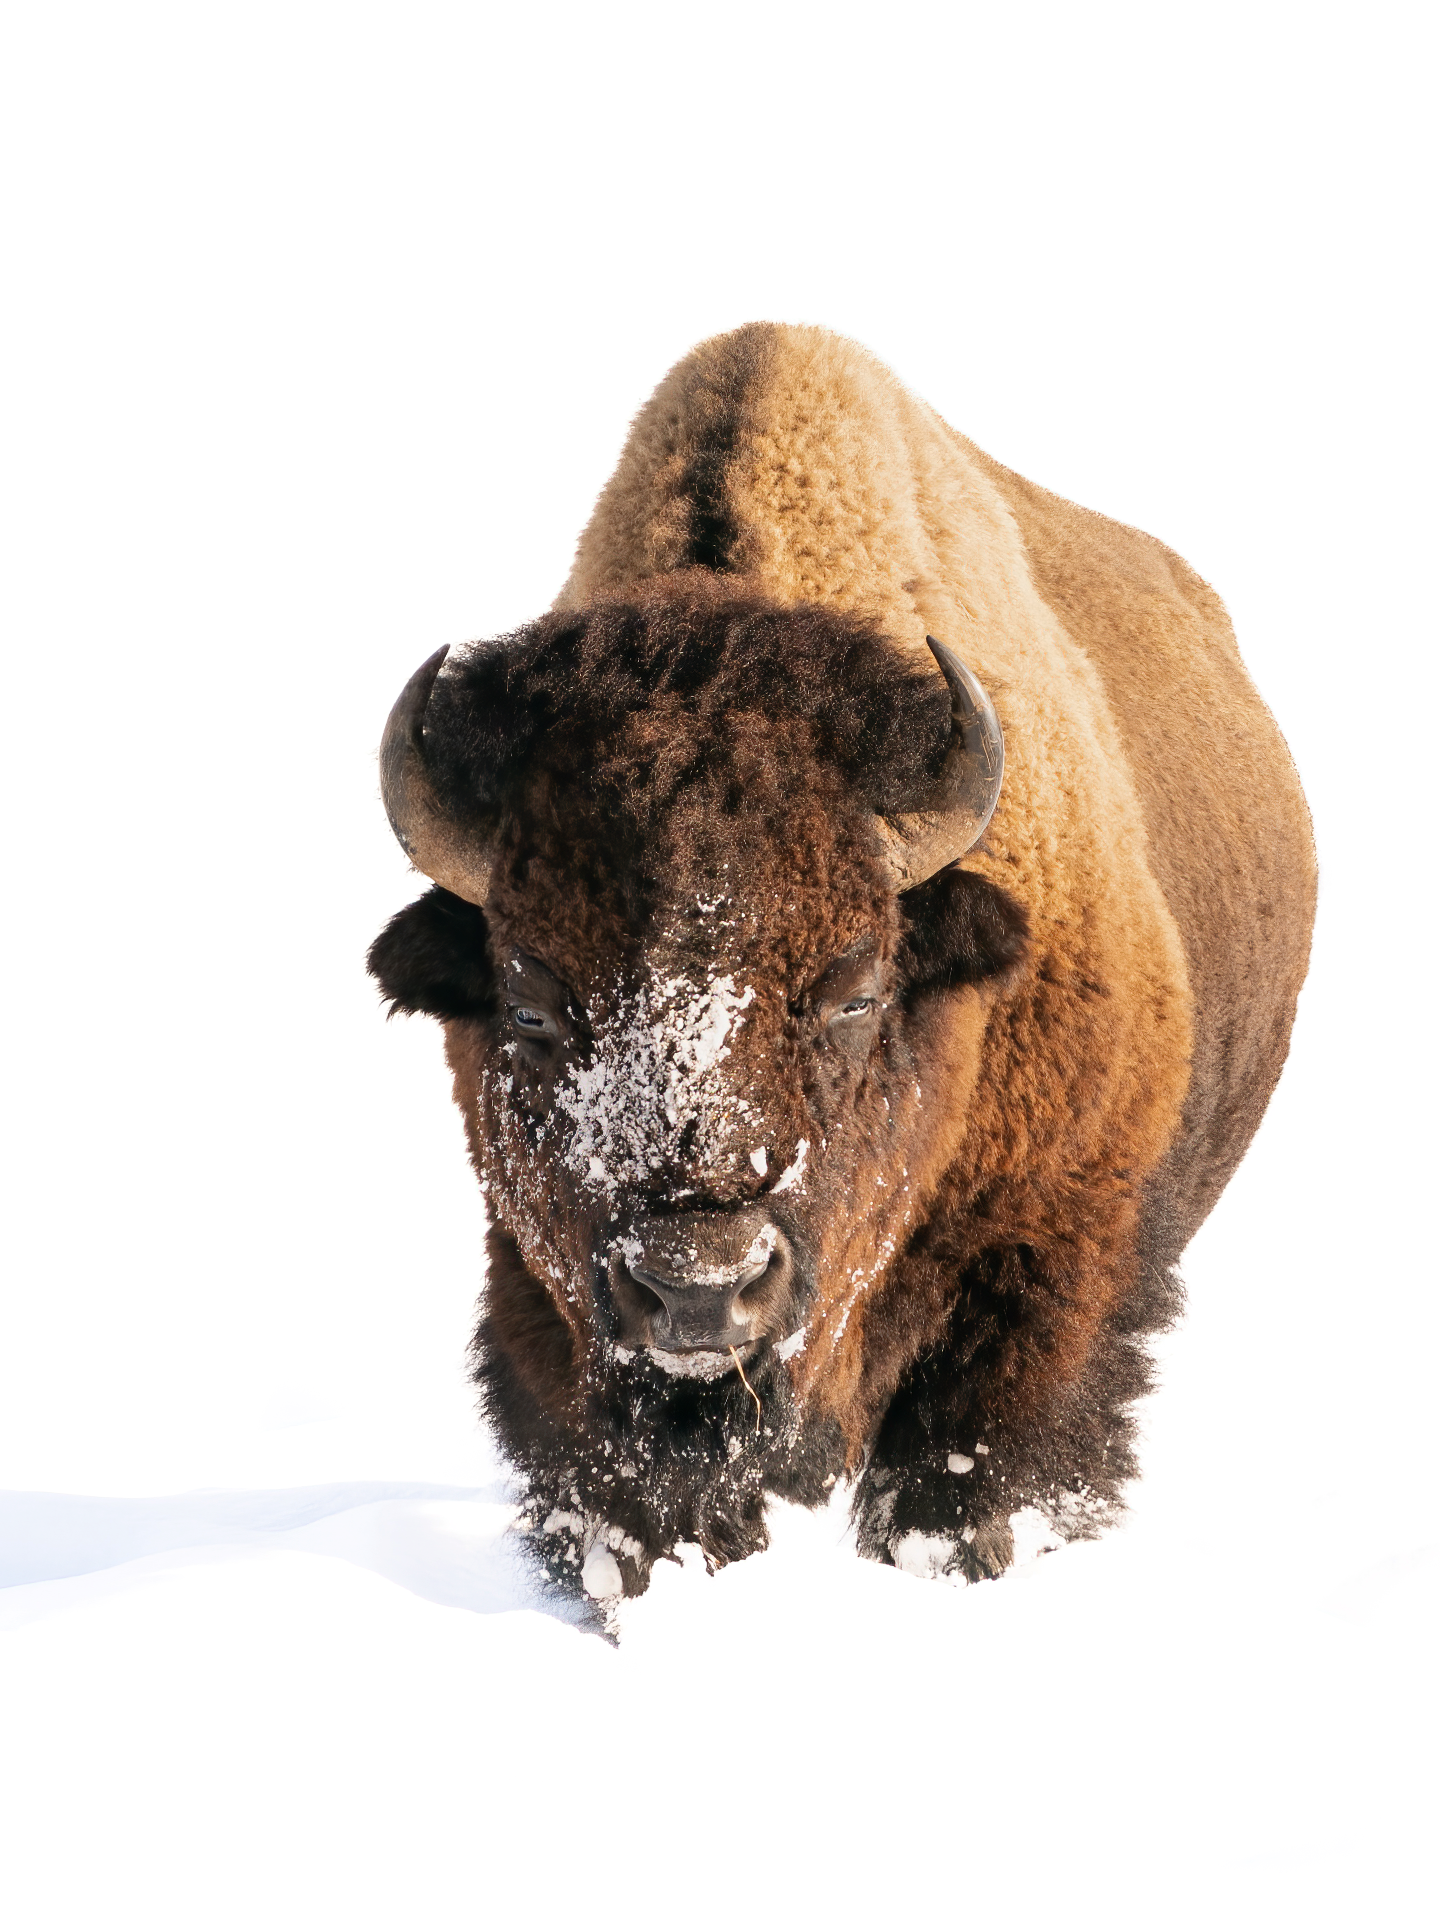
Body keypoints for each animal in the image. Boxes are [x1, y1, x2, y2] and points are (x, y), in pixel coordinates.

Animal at [369, 323, 1315, 1607]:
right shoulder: (546, 1305)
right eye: (527, 1003)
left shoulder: (1044, 1254)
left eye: (856, 992)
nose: (700, 1284)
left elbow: (964, 1480)